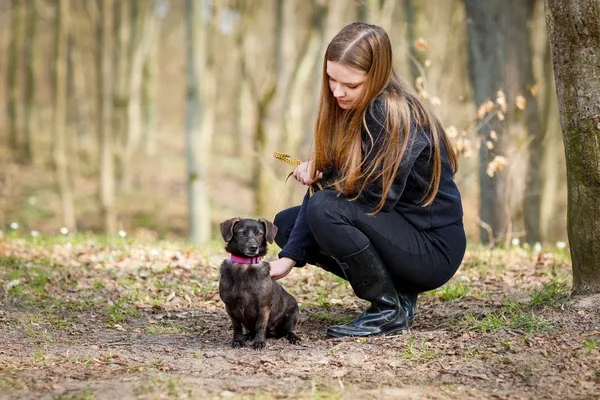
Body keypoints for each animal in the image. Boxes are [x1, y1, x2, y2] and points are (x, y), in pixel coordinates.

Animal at [218, 217, 302, 348]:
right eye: (241, 233)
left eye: (260, 234)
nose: (253, 247)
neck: (245, 265)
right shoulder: (230, 306)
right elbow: (237, 326)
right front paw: (238, 340)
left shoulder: (263, 306)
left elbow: (260, 325)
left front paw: (259, 342)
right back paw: (248, 336)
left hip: (292, 314)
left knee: (289, 330)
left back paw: (294, 337)